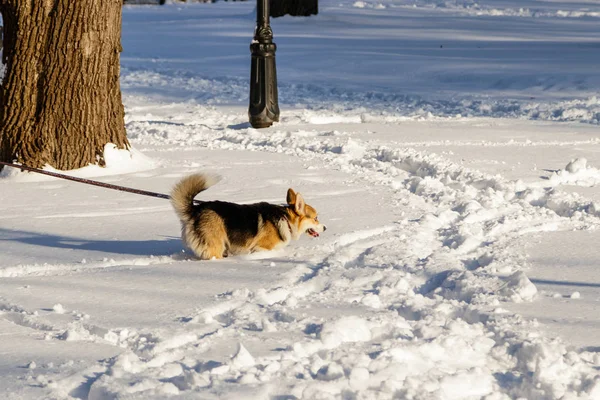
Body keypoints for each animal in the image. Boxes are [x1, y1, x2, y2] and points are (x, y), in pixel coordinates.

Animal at [171, 174, 326, 260]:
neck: (286, 219)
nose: (325, 228)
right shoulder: (260, 248)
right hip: (216, 246)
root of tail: (195, 209)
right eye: (315, 218)